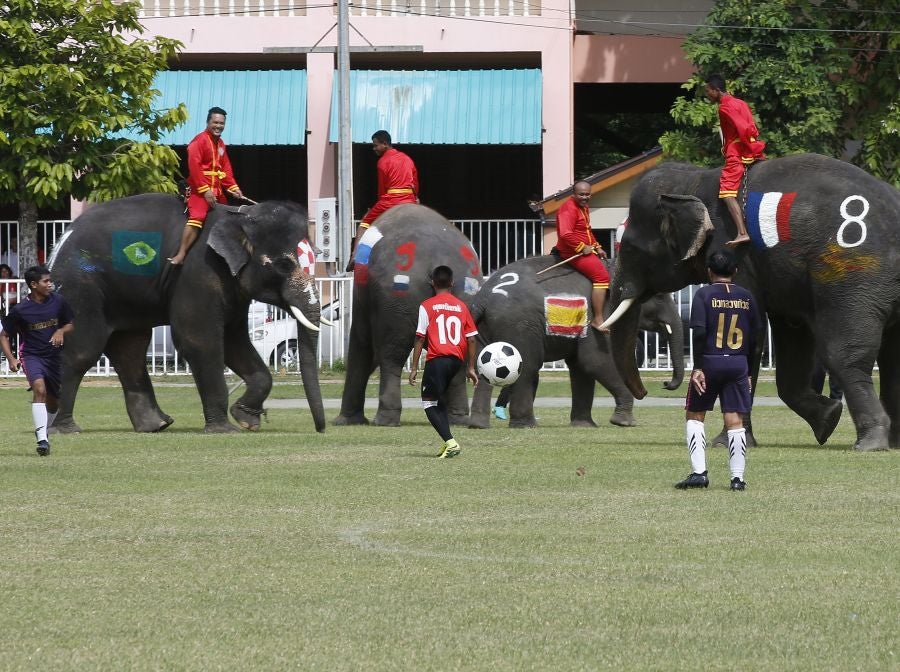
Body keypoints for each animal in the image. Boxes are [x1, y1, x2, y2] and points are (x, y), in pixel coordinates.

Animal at [48, 194, 327, 433]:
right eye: (284, 265)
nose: (320, 429)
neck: (241, 217)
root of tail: (60, 242)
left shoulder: (232, 287)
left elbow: (234, 342)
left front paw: (246, 420)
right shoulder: (199, 272)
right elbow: (199, 341)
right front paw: (224, 430)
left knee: (130, 349)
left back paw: (157, 425)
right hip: (80, 286)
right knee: (82, 349)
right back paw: (65, 429)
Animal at [334, 204, 483, 426]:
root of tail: (438, 259)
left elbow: (362, 342)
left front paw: (344, 421)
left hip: (394, 297)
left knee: (391, 355)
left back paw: (384, 420)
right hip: (465, 296)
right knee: (461, 357)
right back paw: (458, 420)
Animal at [466, 255, 684, 429]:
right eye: (658, 296)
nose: (665, 383)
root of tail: (483, 297)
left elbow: (581, 367)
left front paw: (584, 426)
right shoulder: (598, 317)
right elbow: (596, 361)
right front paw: (624, 422)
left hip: (485, 329)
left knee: (483, 369)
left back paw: (479, 425)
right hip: (519, 325)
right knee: (527, 368)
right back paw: (526, 425)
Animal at [605, 153, 900, 451]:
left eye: (629, 248)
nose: (660, 386)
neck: (696, 181)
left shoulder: (734, 253)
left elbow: (748, 330)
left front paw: (723, 442)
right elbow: (791, 341)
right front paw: (828, 419)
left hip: (854, 278)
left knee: (843, 355)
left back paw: (870, 444)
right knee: (890, 359)